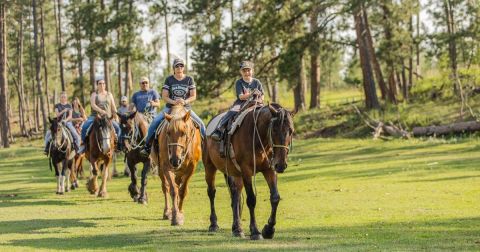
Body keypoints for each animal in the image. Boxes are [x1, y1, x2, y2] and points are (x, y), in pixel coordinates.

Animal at [202, 103, 294, 240]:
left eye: (291, 131)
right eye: (274, 130)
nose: (281, 164)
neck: (258, 138)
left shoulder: (269, 169)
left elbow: (275, 197)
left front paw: (269, 229)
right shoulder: (246, 171)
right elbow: (251, 199)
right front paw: (255, 231)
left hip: (235, 174)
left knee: (235, 194)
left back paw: (237, 228)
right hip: (209, 167)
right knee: (212, 192)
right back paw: (214, 224)